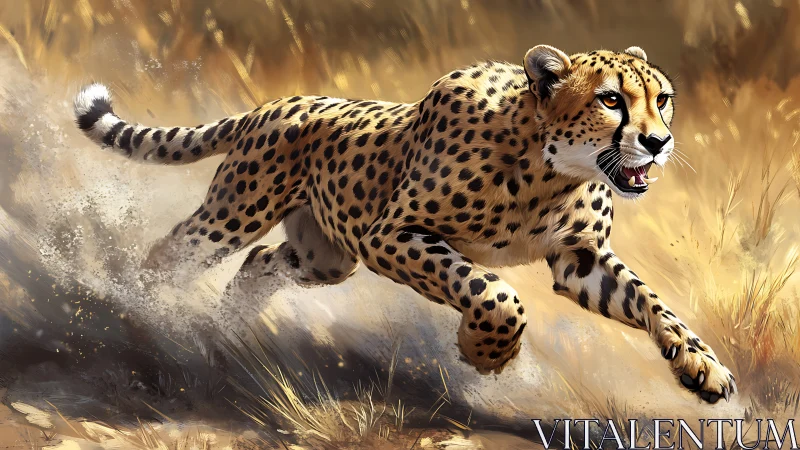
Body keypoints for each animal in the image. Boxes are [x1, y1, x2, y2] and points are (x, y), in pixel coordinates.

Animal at [74, 44, 736, 404]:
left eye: (663, 99)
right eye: (611, 100)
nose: (658, 142)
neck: (552, 169)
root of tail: (278, 104)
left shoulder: (579, 260)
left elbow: (652, 302)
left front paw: (702, 367)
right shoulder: (389, 236)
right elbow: (493, 292)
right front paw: (485, 354)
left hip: (324, 257)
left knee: (261, 262)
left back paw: (226, 331)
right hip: (238, 212)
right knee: (173, 252)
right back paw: (140, 313)